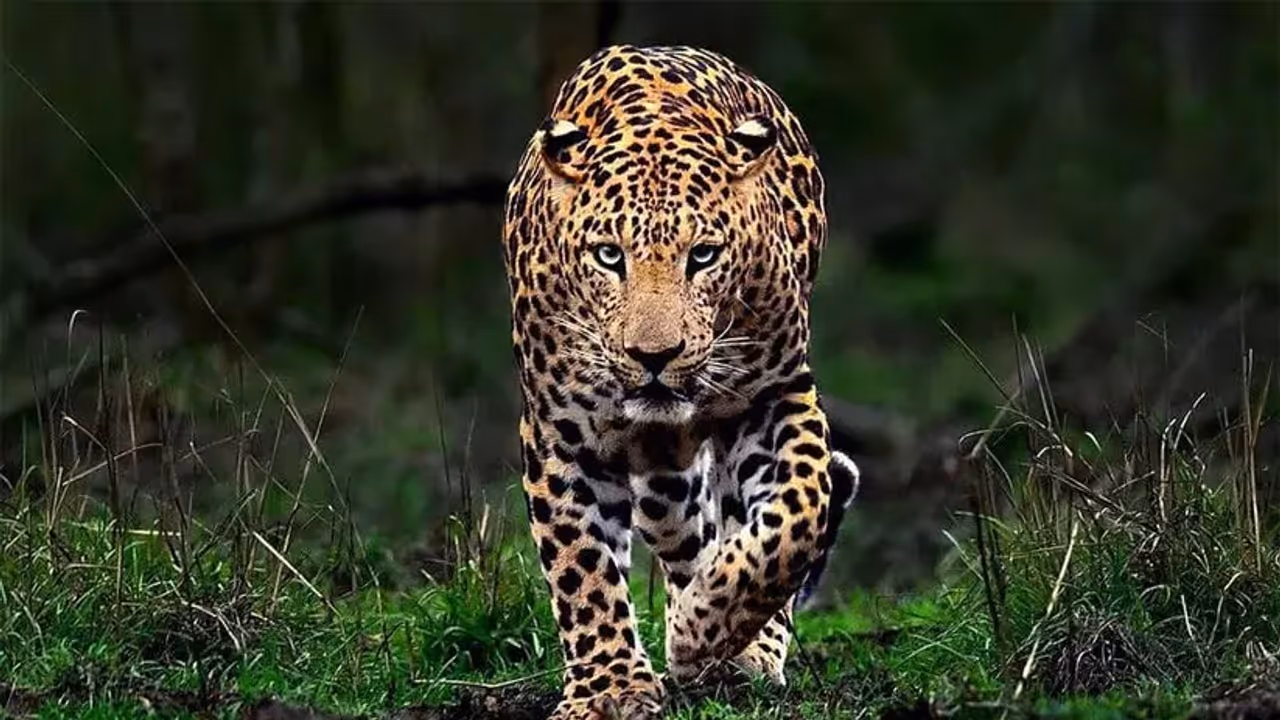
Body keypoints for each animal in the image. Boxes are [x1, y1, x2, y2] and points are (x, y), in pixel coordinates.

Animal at [501, 45, 860, 720]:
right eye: (609, 256)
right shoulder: (560, 432)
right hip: (663, 481)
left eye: (704, 256)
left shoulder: (776, 393)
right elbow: (582, 567)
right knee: (687, 537)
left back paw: (737, 648)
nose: (654, 356)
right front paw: (610, 689)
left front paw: (704, 630)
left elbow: (799, 511)